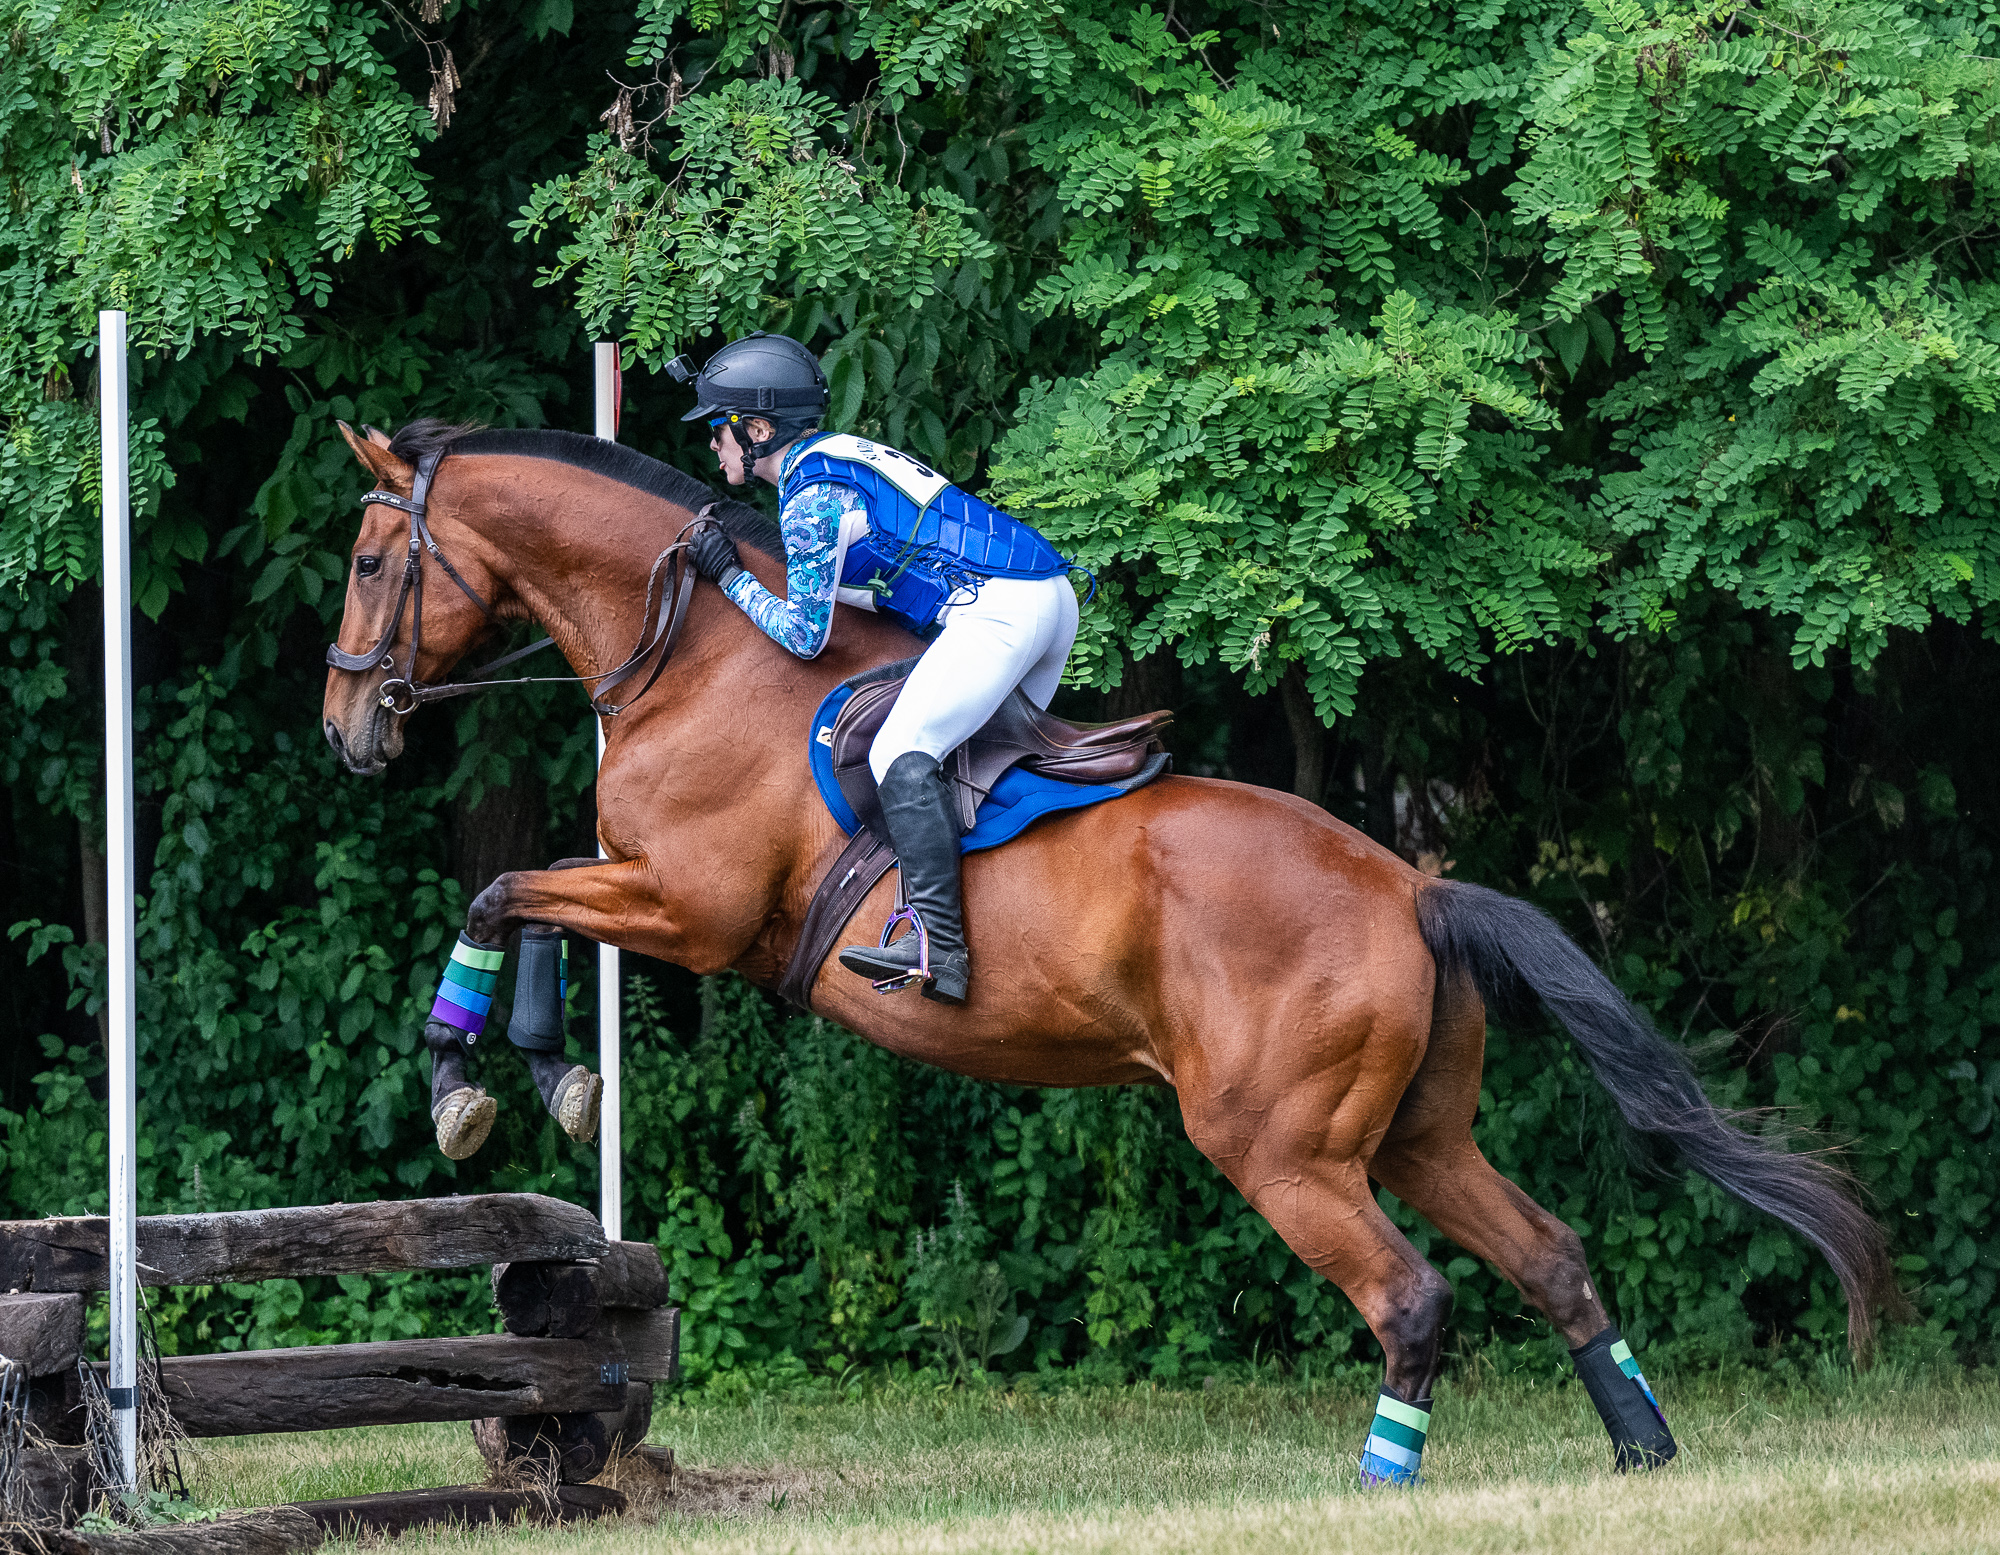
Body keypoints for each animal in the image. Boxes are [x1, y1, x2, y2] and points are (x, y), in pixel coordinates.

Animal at [321, 418, 1904, 1478]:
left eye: (368, 556)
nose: (346, 731)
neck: (699, 648)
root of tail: (1410, 886)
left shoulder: (687, 904)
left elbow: (503, 892)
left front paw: (472, 1078)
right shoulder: (642, 886)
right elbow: (524, 895)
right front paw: (546, 1075)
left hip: (1280, 1145)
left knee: (1412, 1294)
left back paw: (1380, 1483)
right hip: (1415, 1134)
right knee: (1554, 1259)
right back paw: (1642, 1451)